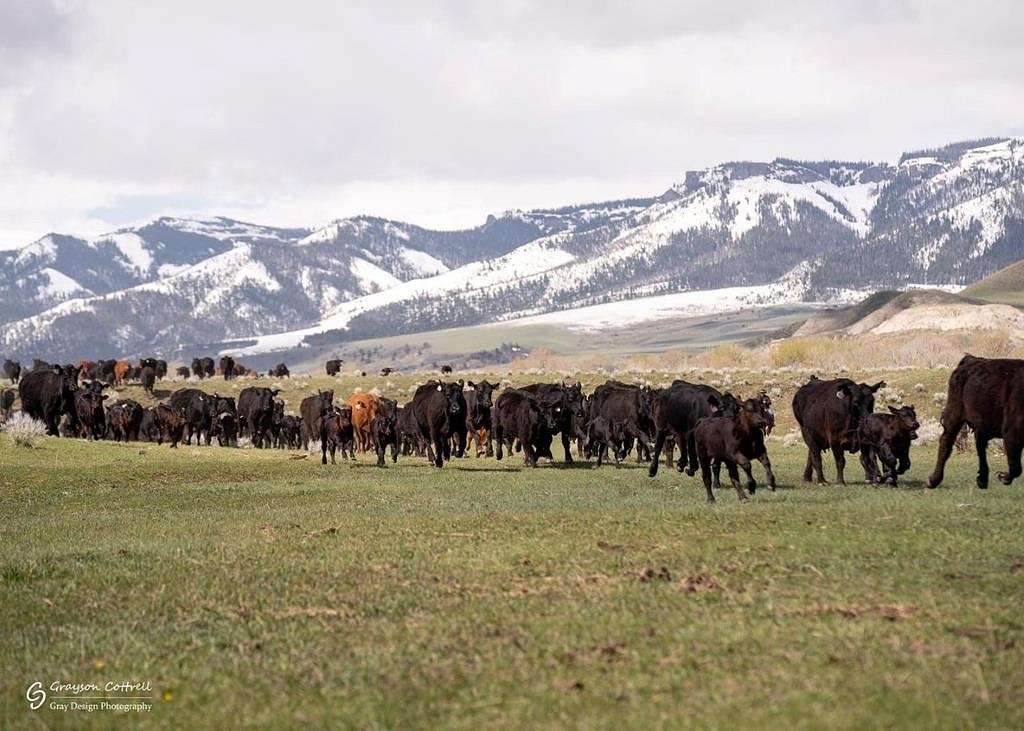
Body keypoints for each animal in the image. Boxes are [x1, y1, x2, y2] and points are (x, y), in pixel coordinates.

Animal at [929, 354, 1024, 489]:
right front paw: (1003, 477)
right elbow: (1016, 467)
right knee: (946, 441)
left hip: (982, 423)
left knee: (980, 444)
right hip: (954, 415)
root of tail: (971, 359)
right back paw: (933, 480)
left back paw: (982, 480)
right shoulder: (1011, 434)